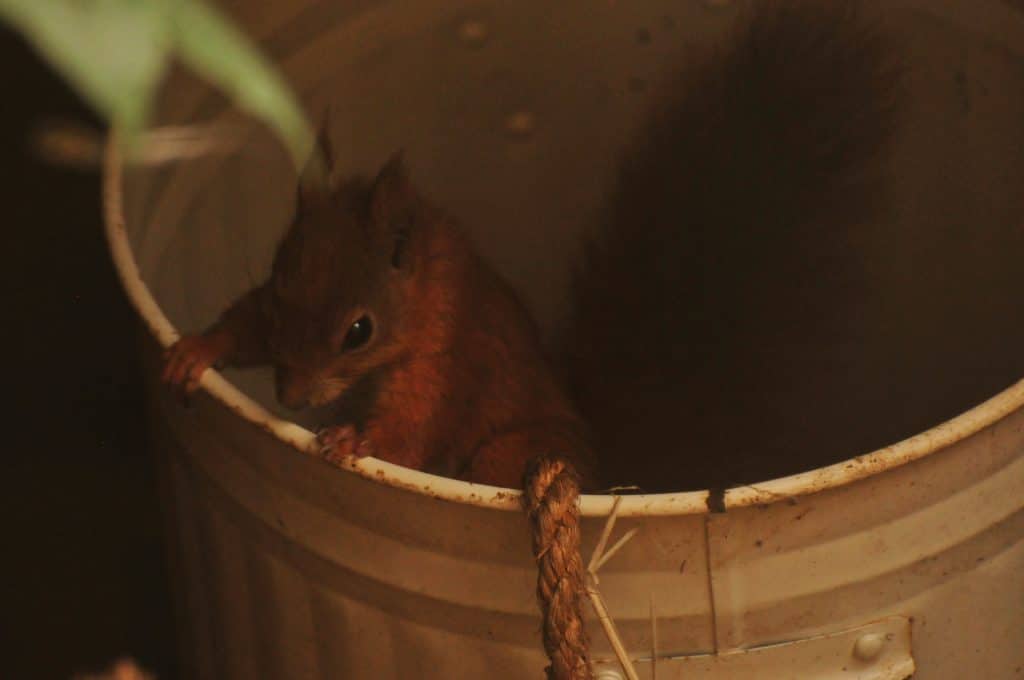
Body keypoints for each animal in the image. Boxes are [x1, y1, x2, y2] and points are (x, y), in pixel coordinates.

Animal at [162, 148, 598, 489]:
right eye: (275, 292)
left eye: (359, 332)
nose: (291, 399)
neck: (426, 295)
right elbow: (248, 327)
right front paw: (197, 349)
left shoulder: (444, 365)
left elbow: (408, 434)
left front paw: (352, 441)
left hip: (513, 451)